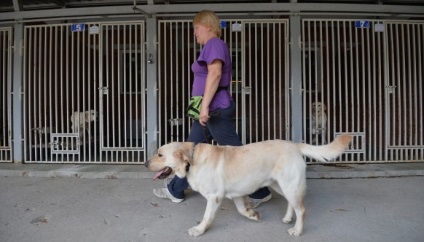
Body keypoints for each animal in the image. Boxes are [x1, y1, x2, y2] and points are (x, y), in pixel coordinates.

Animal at [146, 135, 352, 237]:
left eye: (160, 154)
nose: (145, 164)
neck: (192, 159)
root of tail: (294, 144)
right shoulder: (235, 194)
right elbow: (241, 210)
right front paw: (252, 214)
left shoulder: (214, 197)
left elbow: (206, 217)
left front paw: (199, 230)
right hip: (280, 185)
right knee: (290, 203)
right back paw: (287, 218)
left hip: (289, 185)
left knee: (301, 209)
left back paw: (297, 230)